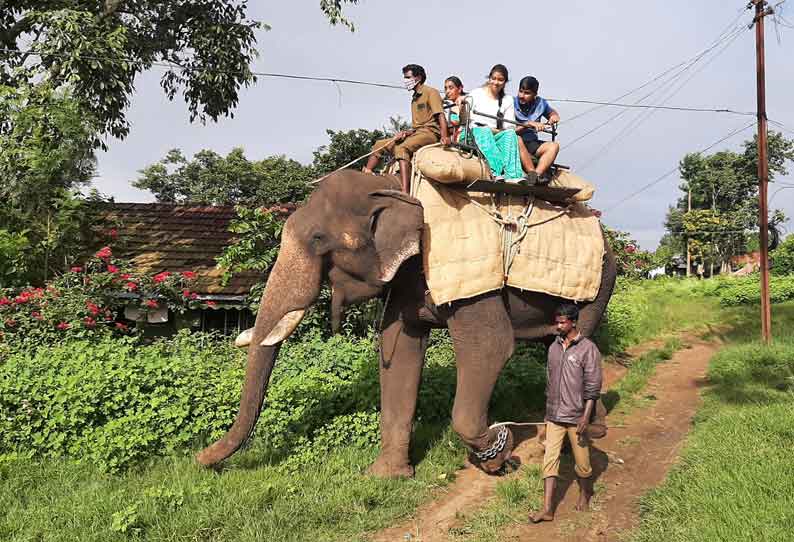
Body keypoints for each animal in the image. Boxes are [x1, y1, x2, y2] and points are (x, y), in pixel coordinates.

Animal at [195, 171, 616, 480]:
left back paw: (577, 434)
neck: (394, 186)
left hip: (599, 284)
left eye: (318, 239)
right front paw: (387, 477)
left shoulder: (461, 272)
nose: (200, 460)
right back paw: (573, 430)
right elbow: (399, 351)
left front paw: (500, 449)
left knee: (578, 338)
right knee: (555, 347)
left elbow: (491, 346)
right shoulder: (406, 276)